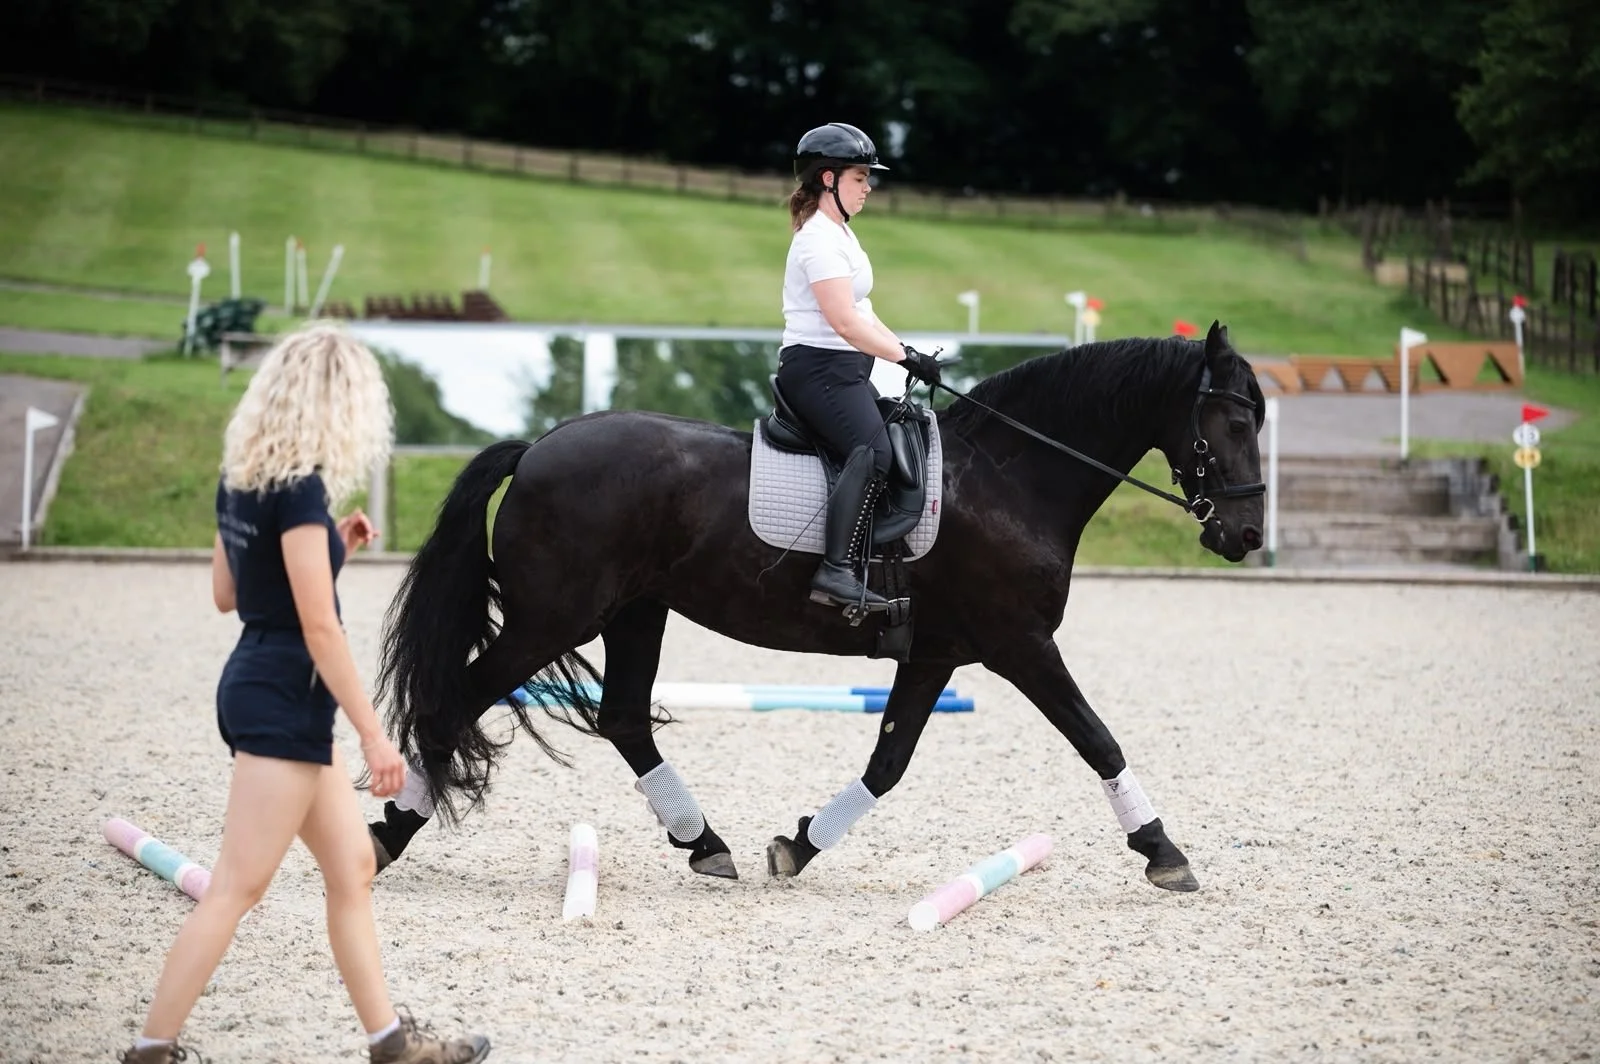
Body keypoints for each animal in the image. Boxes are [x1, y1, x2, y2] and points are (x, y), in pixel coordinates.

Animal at [370, 321, 1265, 893]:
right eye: (1232, 419)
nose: (1248, 534)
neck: (1010, 478)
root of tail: (538, 448)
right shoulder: (1020, 643)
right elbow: (1098, 738)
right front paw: (1163, 850)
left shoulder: (936, 652)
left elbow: (889, 762)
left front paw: (799, 848)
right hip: (553, 619)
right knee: (457, 700)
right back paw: (386, 835)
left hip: (635, 612)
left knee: (621, 717)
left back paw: (705, 844)